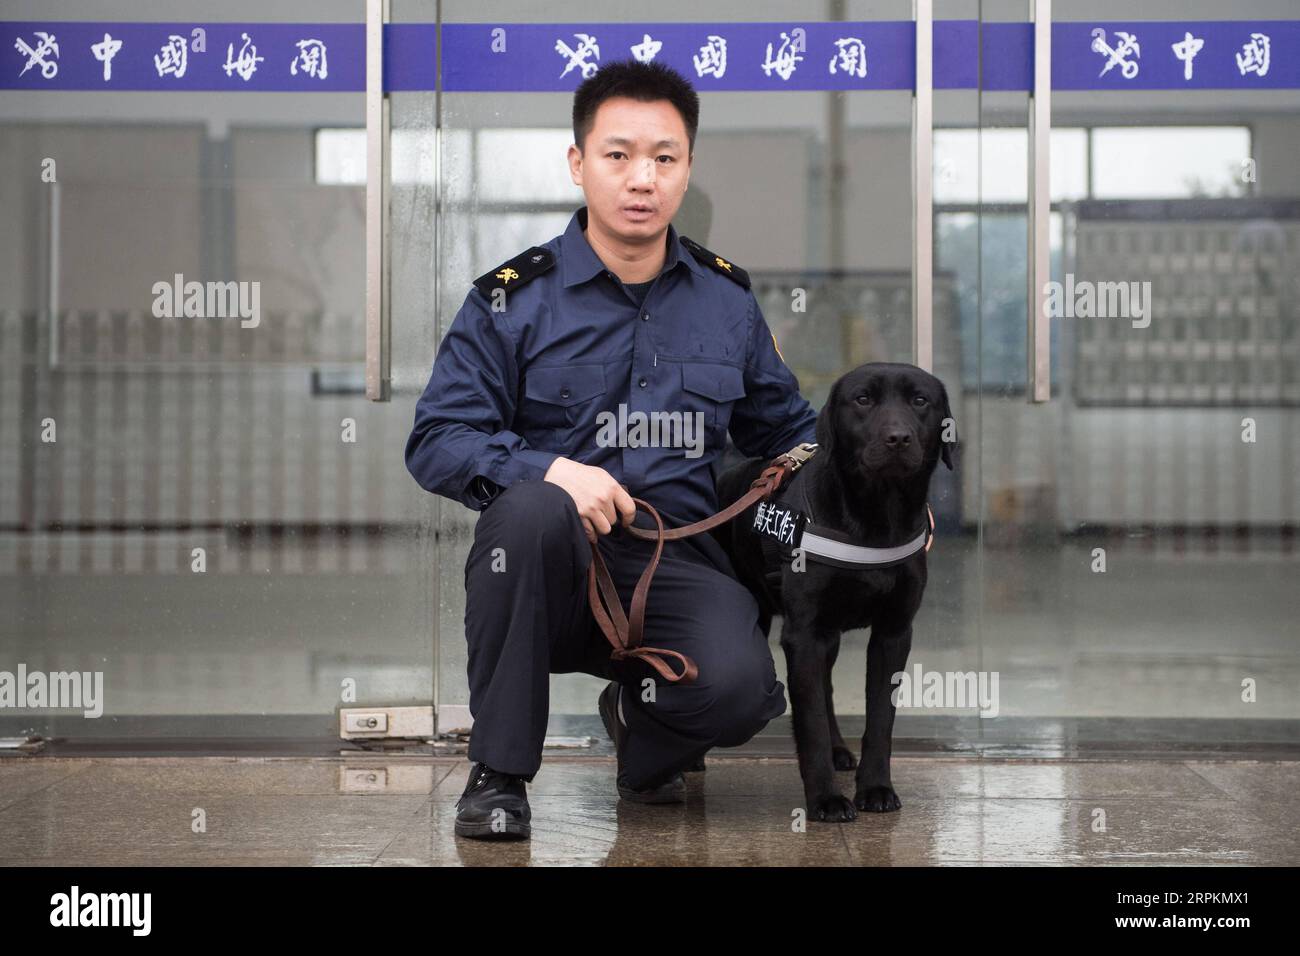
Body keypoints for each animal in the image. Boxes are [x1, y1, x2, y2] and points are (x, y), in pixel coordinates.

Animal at [712, 361, 956, 822]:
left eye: (920, 400)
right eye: (862, 399)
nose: (898, 438)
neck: (876, 518)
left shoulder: (893, 633)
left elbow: (880, 719)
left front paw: (875, 787)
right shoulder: (804, 634)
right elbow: (810, 723)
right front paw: (825, 798)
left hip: (830, 637)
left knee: (825, 688)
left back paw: (841, 749)